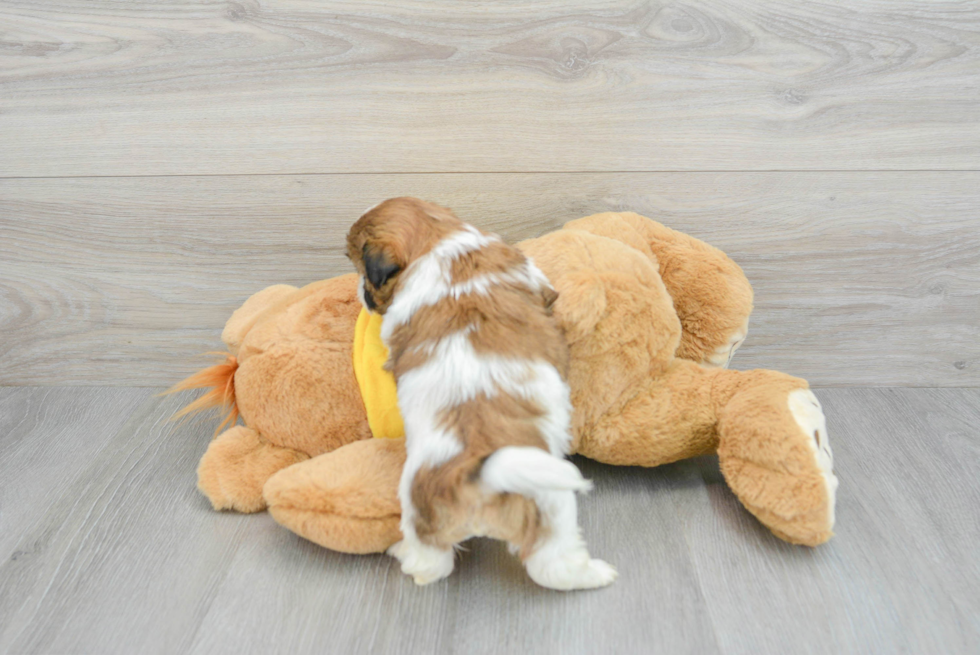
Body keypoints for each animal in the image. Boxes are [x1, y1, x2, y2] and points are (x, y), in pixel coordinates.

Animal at [348, 197, 616, 592]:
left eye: (363, 273)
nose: (359, 292)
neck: (437, 242)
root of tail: (473, 477)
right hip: (546, 500)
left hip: (471, 507)